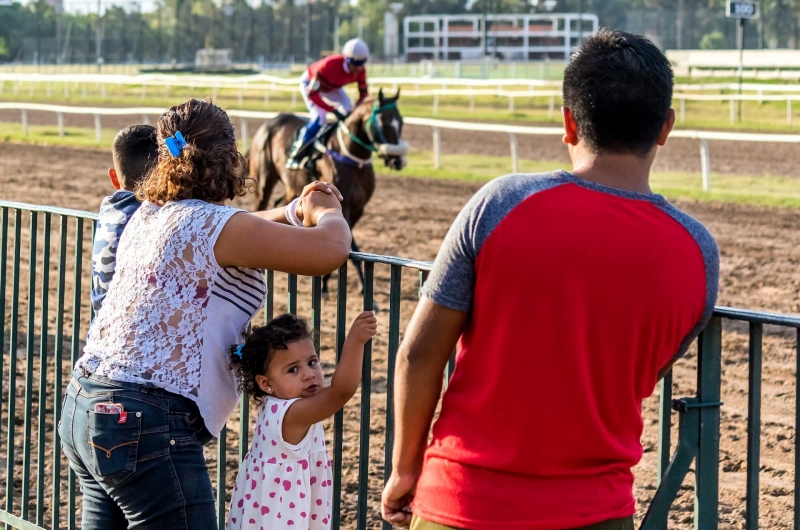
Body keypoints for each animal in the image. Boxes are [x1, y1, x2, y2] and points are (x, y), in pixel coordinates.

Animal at [248, 86, 410, 292]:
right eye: (383, 121)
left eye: (401, 121)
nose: (398, 161)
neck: (353, 159)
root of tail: (270, 122)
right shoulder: (345, 207)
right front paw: (358, 285)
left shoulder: (358, 209)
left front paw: (327, 283)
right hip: (264, 180)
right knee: (259, 206)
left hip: (292, 187)